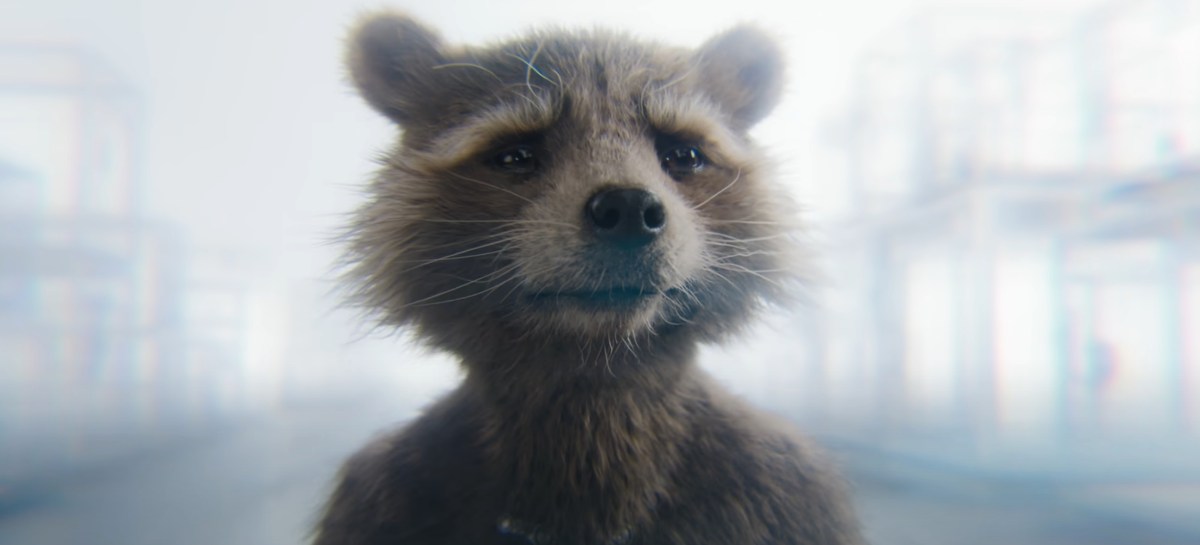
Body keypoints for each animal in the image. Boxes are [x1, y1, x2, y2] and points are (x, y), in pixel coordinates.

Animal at [314, 12, 863, 545]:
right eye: (516, 154)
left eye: (682, 154)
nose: (629, 208)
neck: (595, 370)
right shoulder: (383, 496)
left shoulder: (786, 487)